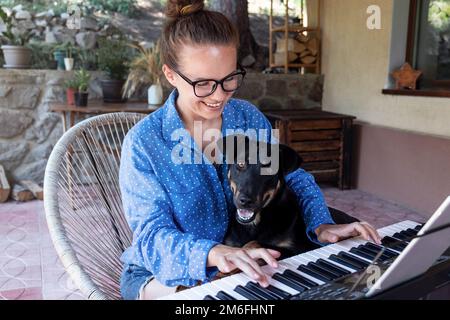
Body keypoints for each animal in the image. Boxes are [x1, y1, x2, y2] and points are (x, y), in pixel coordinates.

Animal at [216, 134, 356, 258]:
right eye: (240, 164)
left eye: (269, 169)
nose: (245, 201)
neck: (254, 224)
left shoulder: (293, 250)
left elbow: (255, 243)